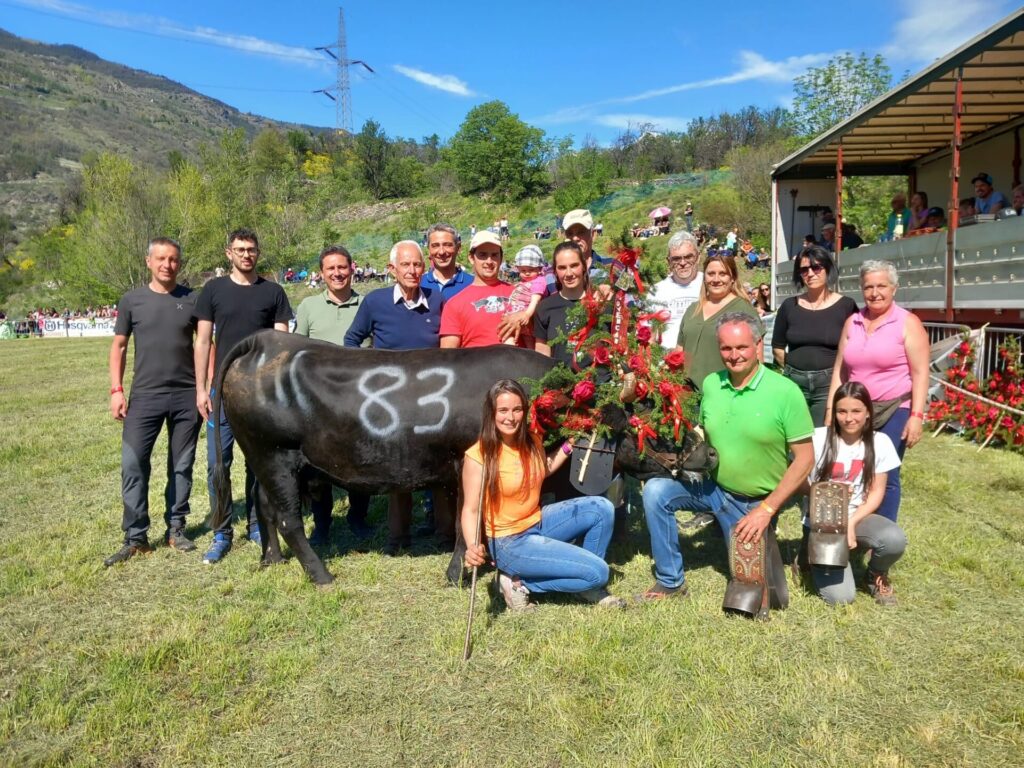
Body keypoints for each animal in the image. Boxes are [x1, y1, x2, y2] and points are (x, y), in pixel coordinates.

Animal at [206, 327, 704, 585]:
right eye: (652, 423)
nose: (709, 455)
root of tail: (264, 341)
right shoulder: (471, 466)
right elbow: (472, 524)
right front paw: (459, 573)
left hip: (264, 460)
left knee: (266, 508)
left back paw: (270, 559)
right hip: (275, 454)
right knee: (290, 518)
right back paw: (320, 574)